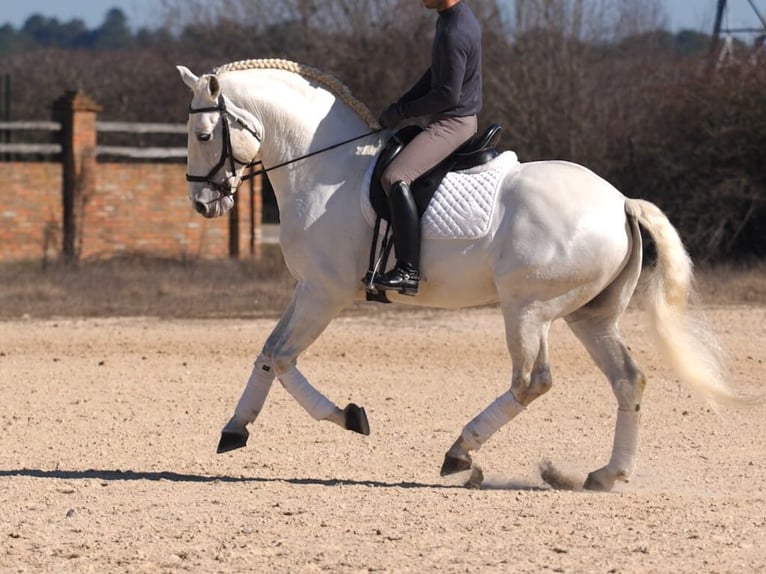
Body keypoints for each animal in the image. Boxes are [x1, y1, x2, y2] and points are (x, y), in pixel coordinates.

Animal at [178, 59, 744, 496]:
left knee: (531, 381)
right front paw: (235, 429)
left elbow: (283, 358)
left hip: (528, 309)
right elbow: (268, 353)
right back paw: (606, 475)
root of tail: (620, 201)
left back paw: (460, 453)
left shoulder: (326, 293)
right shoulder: (307, 289)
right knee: (628, 378)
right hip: (589, 316)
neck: (324, 168)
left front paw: (350, 417)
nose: (204, 204)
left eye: (204, 135)